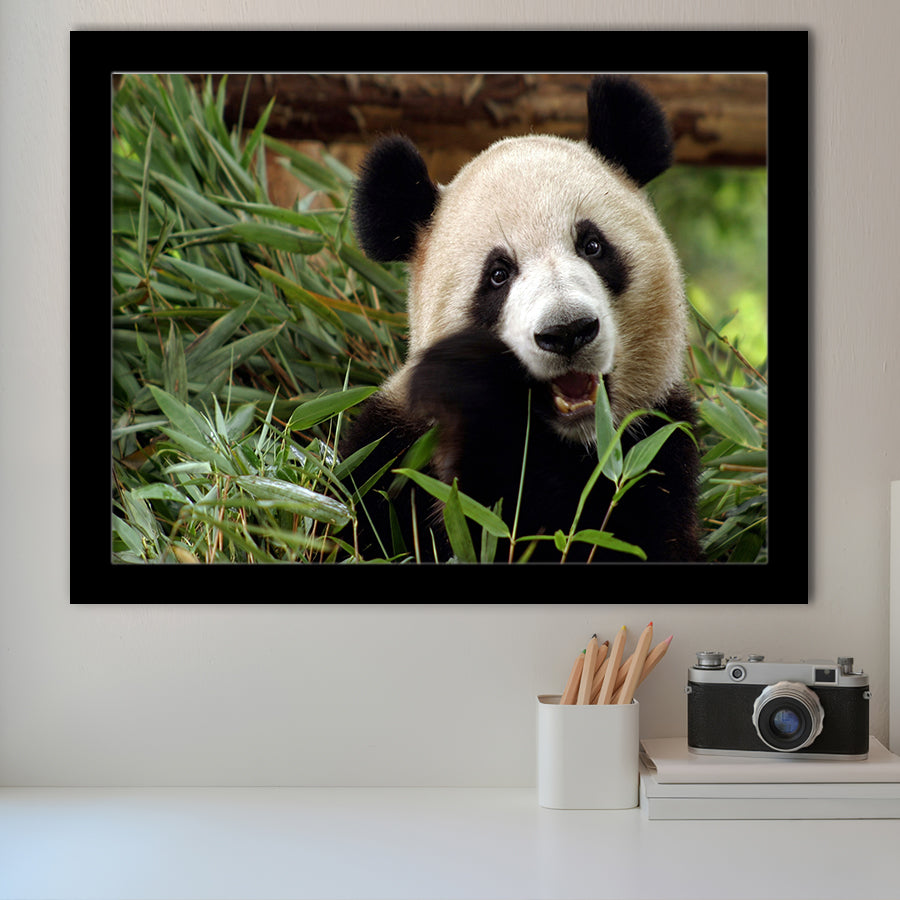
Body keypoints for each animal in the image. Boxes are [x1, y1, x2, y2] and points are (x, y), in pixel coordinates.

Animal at [342, 75, 701, 563]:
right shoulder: (391, 451)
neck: (572, 443)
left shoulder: (655, 448)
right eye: (498, 274)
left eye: (592, 245)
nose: (567, 332)